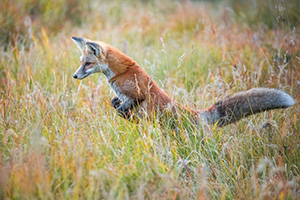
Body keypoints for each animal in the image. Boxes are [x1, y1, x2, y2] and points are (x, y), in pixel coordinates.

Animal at [71, 36, 294, 126]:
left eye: (88, 64)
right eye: (81, 62)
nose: (74, 76)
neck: (119, 73)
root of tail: (197, 115)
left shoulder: (138, 94)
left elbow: (124, 107)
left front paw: (124, 114)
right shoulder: (124, 97)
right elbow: (116, 104)